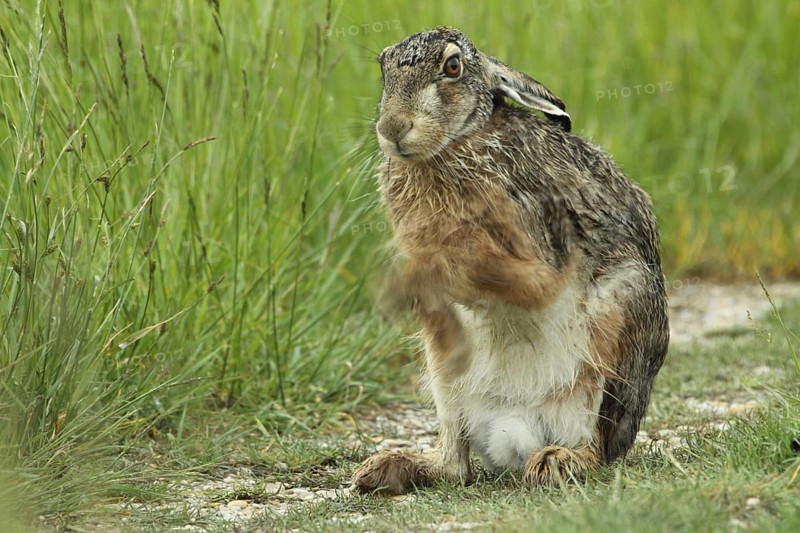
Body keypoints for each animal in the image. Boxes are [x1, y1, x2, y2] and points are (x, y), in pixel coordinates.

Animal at [351, 27, 669, 495]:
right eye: (383, 67)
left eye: (452, 67)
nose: (393, 128)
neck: (457, 143)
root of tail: (517, 428)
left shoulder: (537, 244)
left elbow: (495, 272)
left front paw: (403, 281)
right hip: (444, 379)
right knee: (454, 464)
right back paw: (388, 467)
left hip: (618, 329)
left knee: (595, 444)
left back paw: (558, 461)